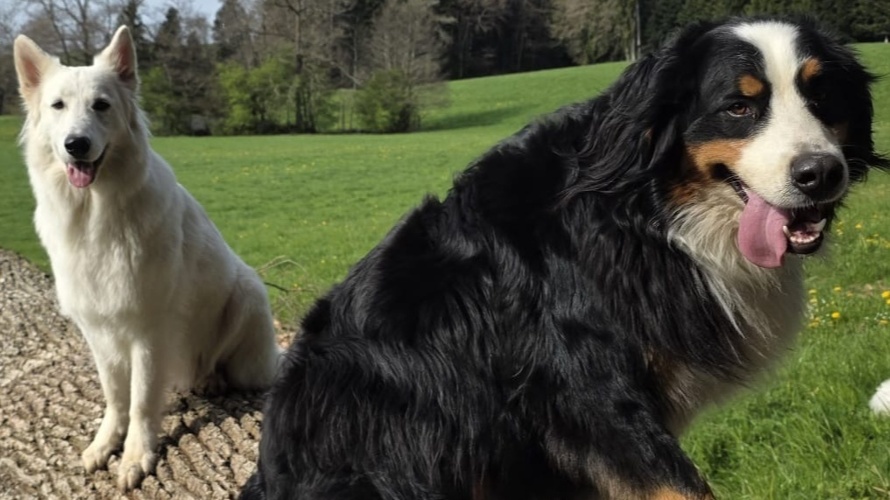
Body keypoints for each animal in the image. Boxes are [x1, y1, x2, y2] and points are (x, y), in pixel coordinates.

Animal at [14, 26, 282, 490]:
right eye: (58, 106)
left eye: (101, 105)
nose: (76, 145)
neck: (95, 215)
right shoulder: (98, 329)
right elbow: (115, 396)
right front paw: (106, 443)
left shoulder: (148, 331)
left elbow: (140, 401)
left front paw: (137, 455)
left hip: (247, 296)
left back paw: (212, 378)